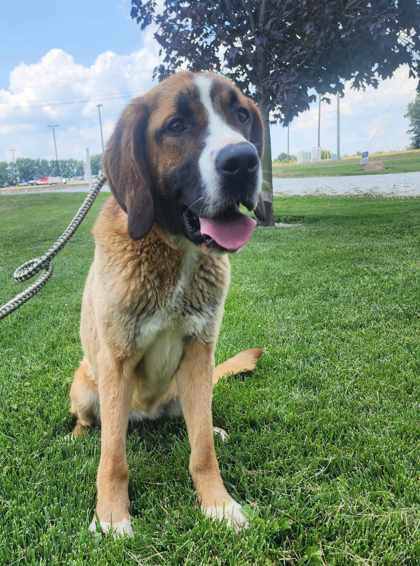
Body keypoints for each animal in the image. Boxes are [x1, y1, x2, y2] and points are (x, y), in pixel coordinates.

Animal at [70, 71, 264, 536]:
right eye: (176, 125)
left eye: (241, 115)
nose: (243, 161)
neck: (174, 250)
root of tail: (147, 415)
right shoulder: (116, 363)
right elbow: (113, 459)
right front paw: (111, 517)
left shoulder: (198, 352)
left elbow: (202, 450)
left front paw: (218, 504)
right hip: (86, 386)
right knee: (93, 424)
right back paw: (78, 436)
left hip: (192, 385)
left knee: (195, 423)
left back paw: (213, 427)